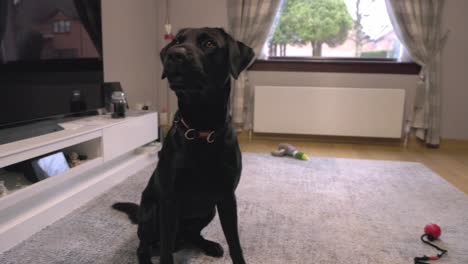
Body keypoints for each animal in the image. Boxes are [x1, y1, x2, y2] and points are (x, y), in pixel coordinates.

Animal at [112, 27, 252, 264]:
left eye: (209, 43)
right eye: (177, 41)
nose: (174, 54)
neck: (202, 128)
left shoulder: (226, 197)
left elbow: (235, 243)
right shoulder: (170, 199)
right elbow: (166, 251)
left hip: (208, 210)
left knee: (192, 235)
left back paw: (209, 245)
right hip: (151, 212)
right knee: (145, 246)